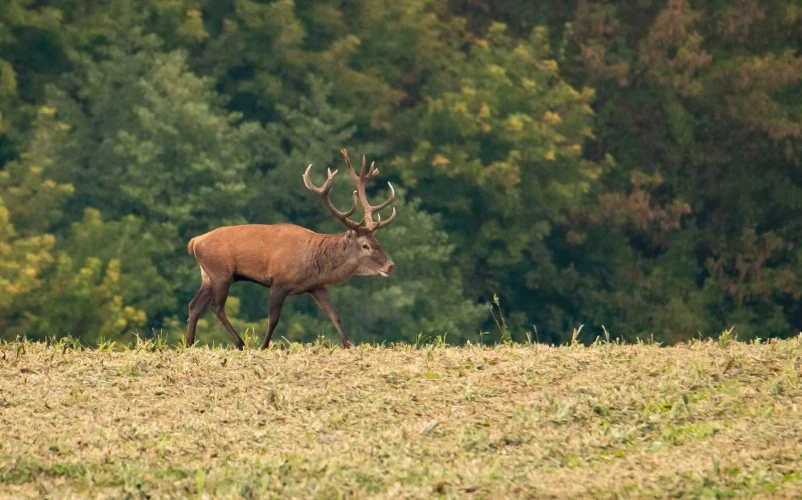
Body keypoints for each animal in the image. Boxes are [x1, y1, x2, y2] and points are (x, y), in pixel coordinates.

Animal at [185, 149, 397, 350]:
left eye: (377, 241)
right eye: (365, 245)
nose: (391, 266)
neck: (314, 263)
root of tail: (195, 241)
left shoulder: (317, 286)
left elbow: (335, 315)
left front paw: (349, 345)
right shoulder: (279, 281)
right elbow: (273, 319)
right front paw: (263, 347)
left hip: (208, 275)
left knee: (194, 306)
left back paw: (189, 344)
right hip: (221, 273)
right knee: (216, 306)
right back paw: (239, 343)